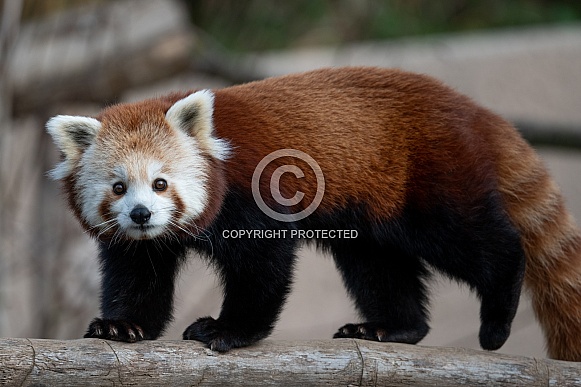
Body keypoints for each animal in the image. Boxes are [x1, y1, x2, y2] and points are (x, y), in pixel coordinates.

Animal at [46, 66, 580, 360]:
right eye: (119, 187)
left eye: (160, 183)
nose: (140, 215)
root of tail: (473, 109)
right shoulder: (140, 245)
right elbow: (140, 277)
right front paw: (123, 326)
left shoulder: (252, 194)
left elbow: (261, 271)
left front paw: (228, 329)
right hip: (371, 213)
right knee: (379, 268)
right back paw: (392, 328)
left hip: (427, 180)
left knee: (477, 241)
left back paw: (497, 316)